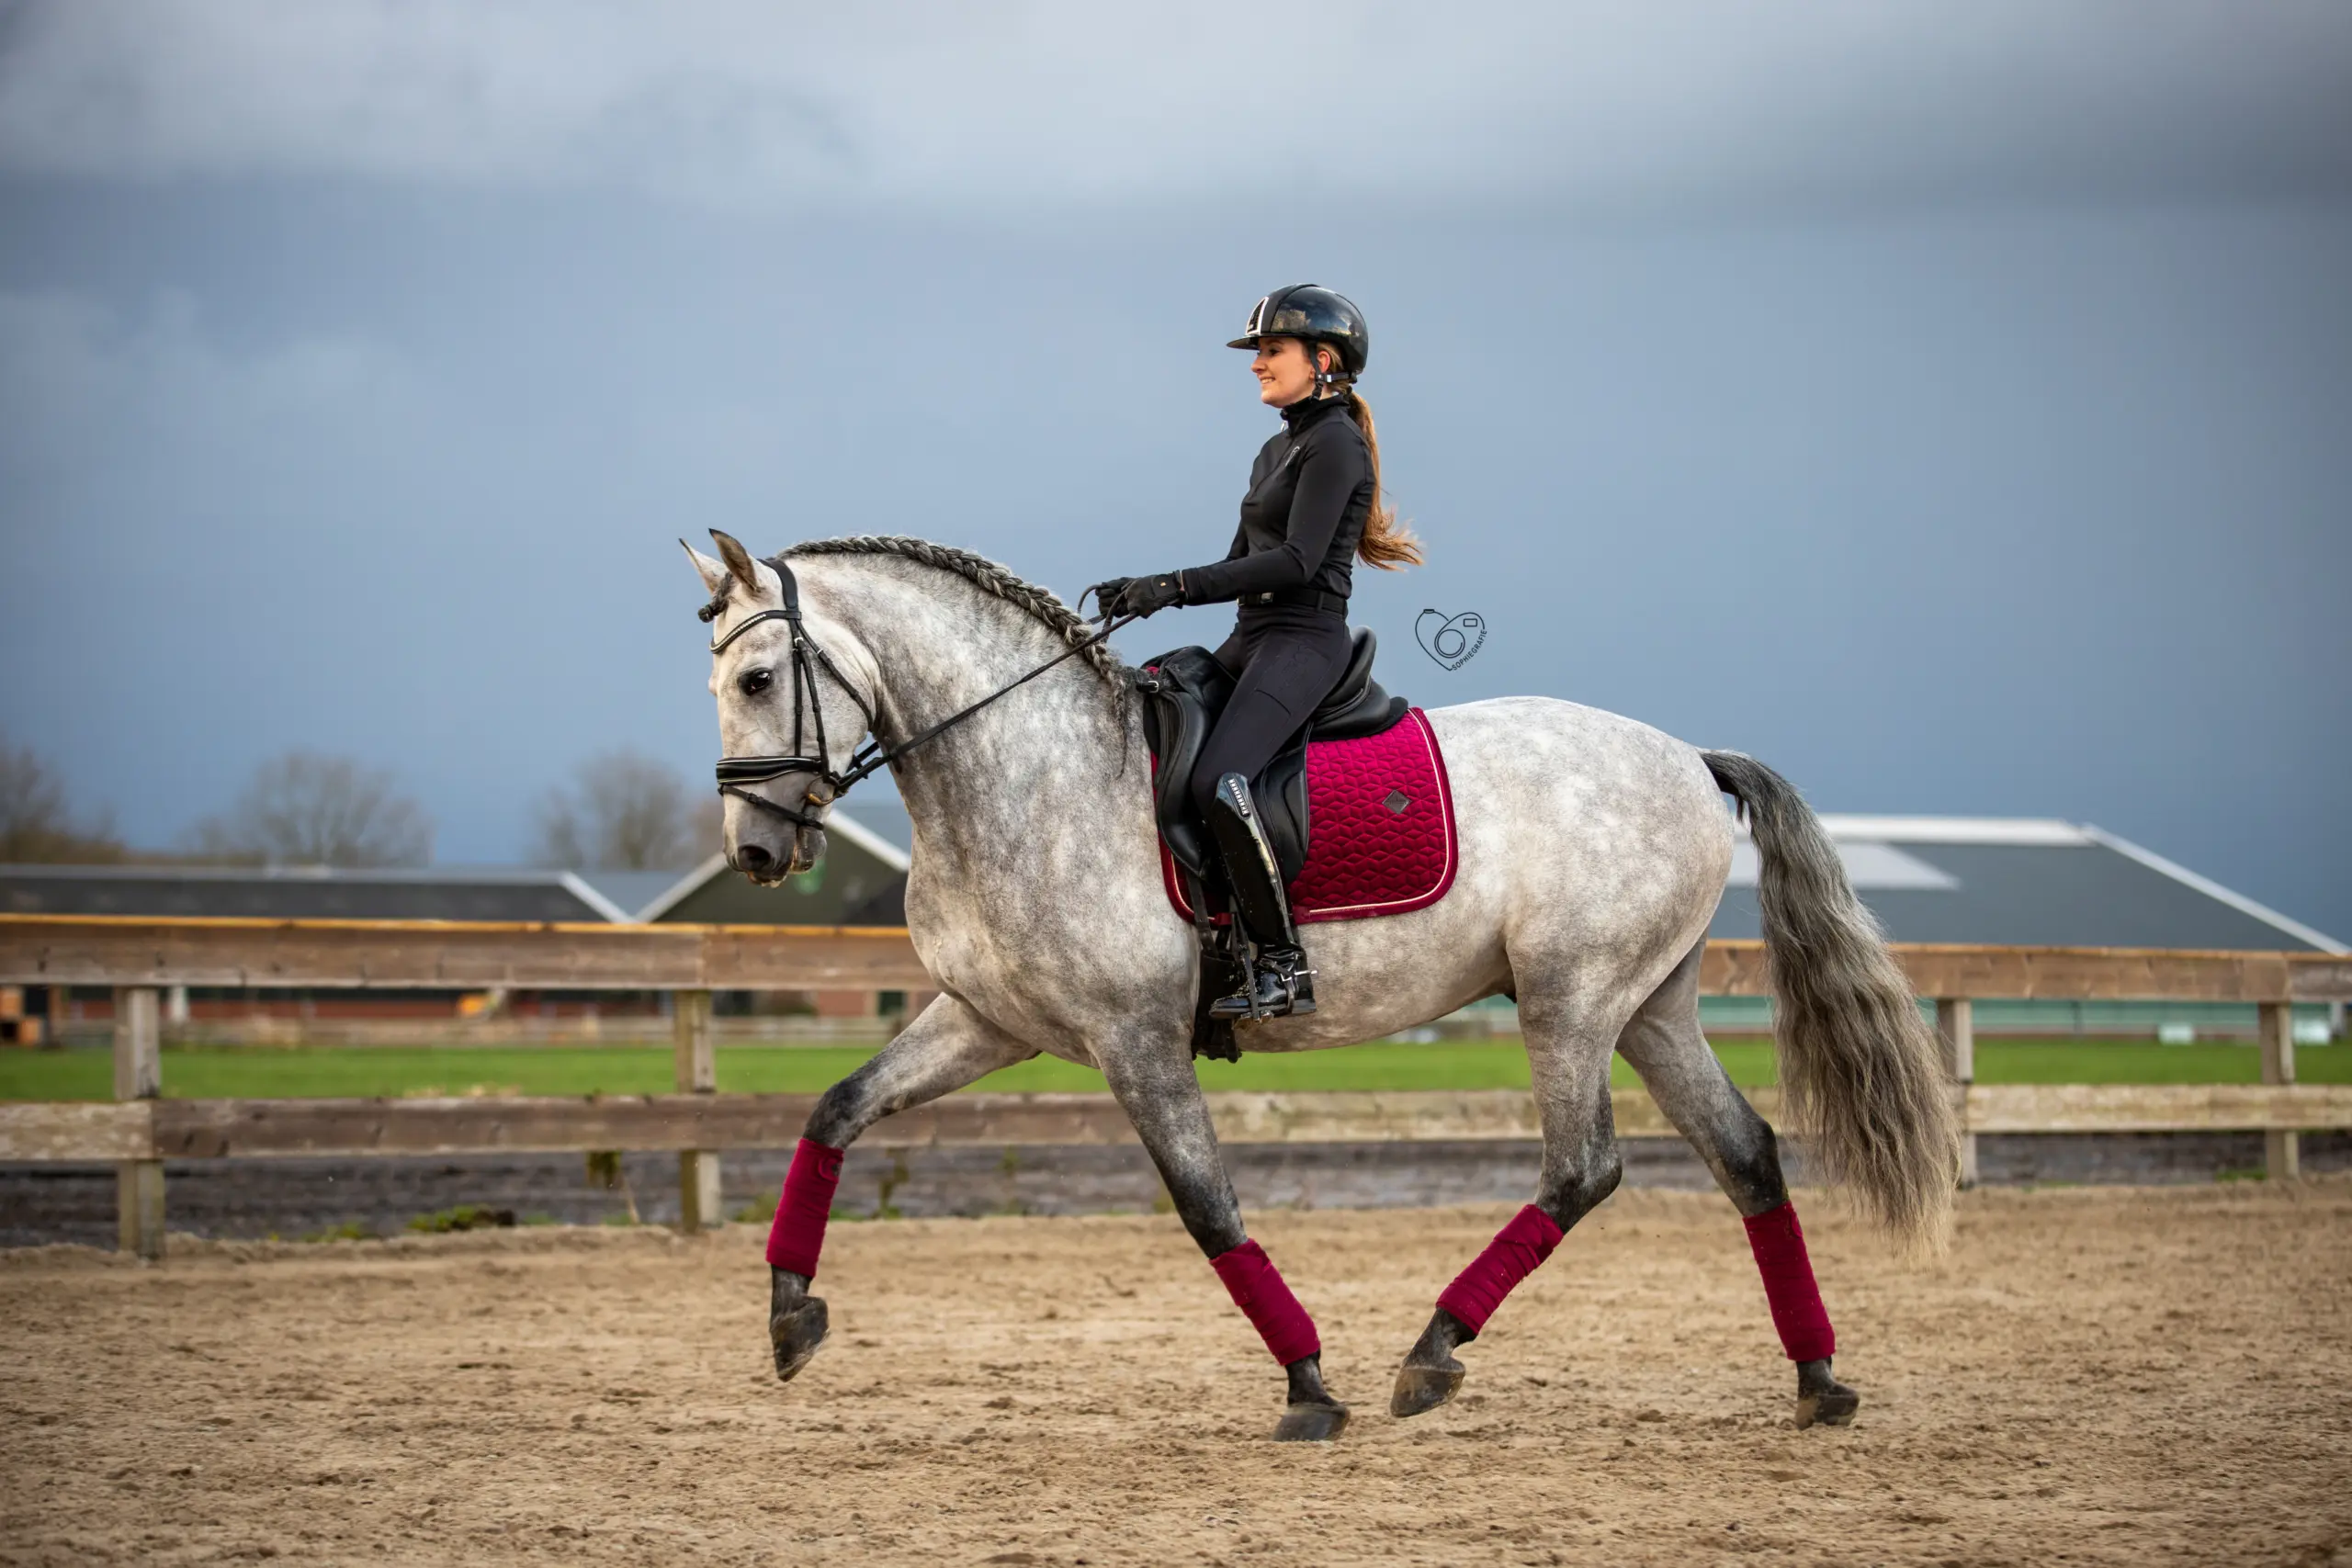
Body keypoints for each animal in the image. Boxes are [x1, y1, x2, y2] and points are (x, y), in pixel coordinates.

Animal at [686, 533, 1956, 1438]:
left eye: (757, 676)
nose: (755, 851)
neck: (1028, 771)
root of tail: (1690, 759)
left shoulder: (1133, 1039)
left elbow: (1208, 1207)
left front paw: (1307, 1385)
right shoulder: (989, 1022)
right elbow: (835, 1110)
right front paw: (789, 1314)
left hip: (1571, 998)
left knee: (1583, 1168)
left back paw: (1430, 1355)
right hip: (1648, 1007)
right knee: (1744, 1154)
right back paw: (1816, 1378)